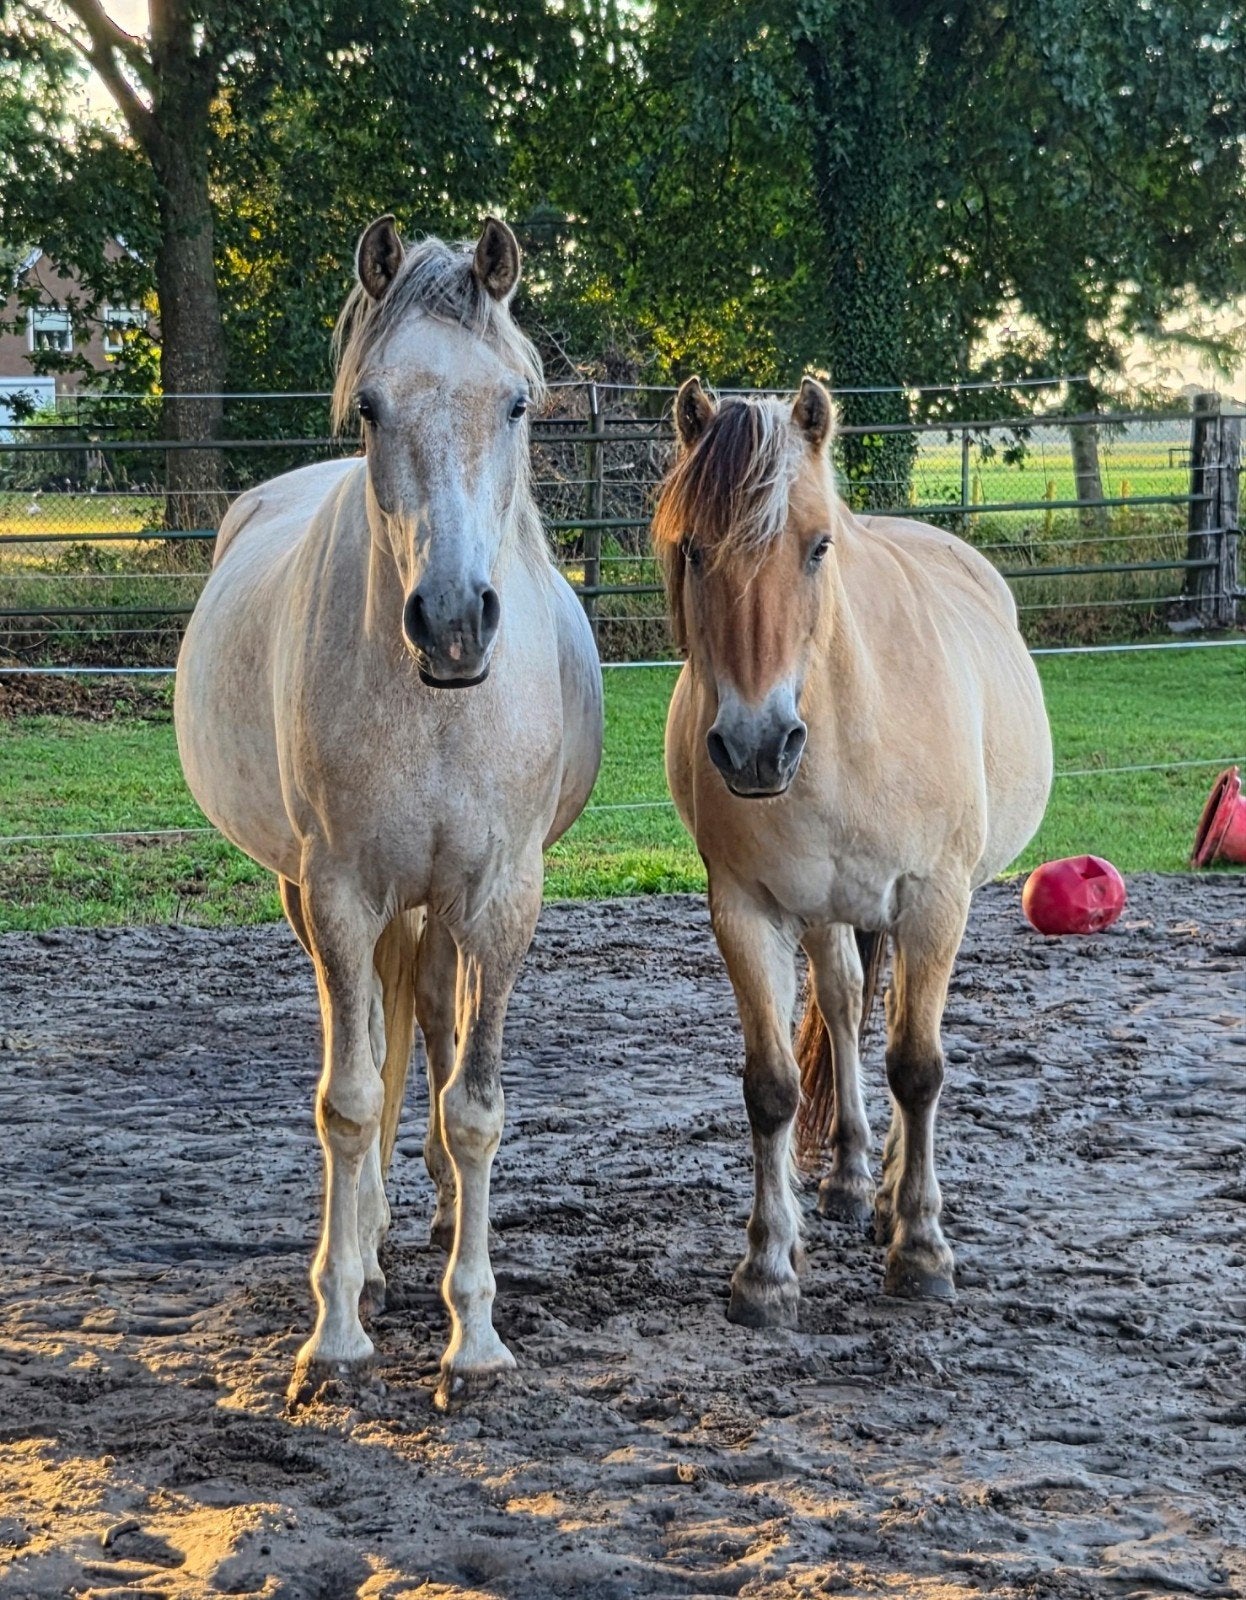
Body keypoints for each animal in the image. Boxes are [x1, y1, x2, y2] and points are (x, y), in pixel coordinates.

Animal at [175, 217, 603, 1405]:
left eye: (515, 402)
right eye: (369, 405)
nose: (453, 621)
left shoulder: (500, 897)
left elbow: (472, 1100)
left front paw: (476, 1335)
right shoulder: (339, 894)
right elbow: (351, 1097)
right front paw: (333, 1328)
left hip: (441, 908)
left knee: (438, 1035)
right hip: (315, 896)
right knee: (368, 1041)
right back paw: (360, 1254)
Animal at [653, 376, 1051, 1327]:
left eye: (818, 545)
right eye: (694, 551)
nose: (757, 748)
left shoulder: (935, 899)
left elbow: (918, 1066)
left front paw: (921, 1248)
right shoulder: (747, 909)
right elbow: (770, 1087)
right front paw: (767, 1266)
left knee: (906, 1036)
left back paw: (894, 1195)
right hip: (826, 913)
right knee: (840, 1006)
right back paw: (849, 1178)